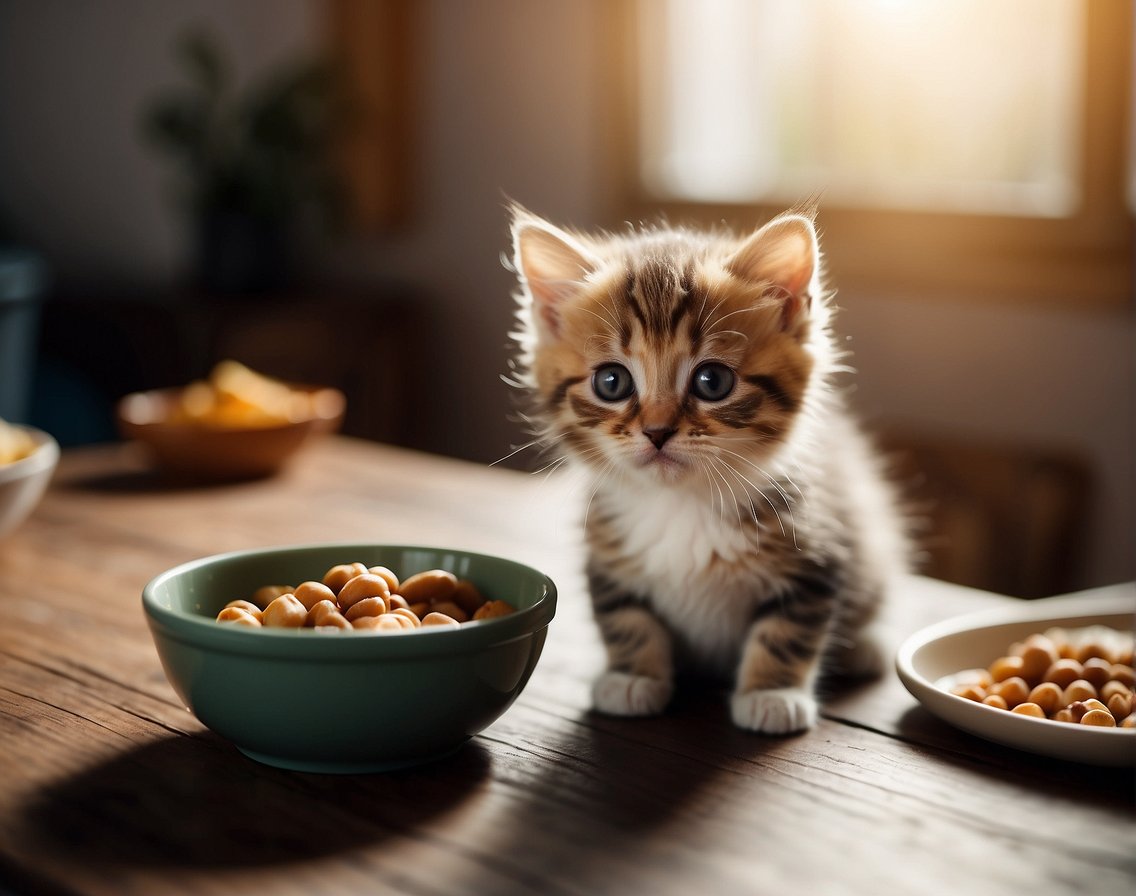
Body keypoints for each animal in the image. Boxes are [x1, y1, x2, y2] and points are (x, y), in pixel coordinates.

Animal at [506, 204, 904, 735]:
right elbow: (626, 619)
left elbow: (788, 630)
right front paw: (632, 677)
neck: (682, 502)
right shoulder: (608, 557)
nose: (656, 431)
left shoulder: (819, 549)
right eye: (611, 382)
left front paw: (772, 694)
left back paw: (864, 646)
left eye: (712, 381)